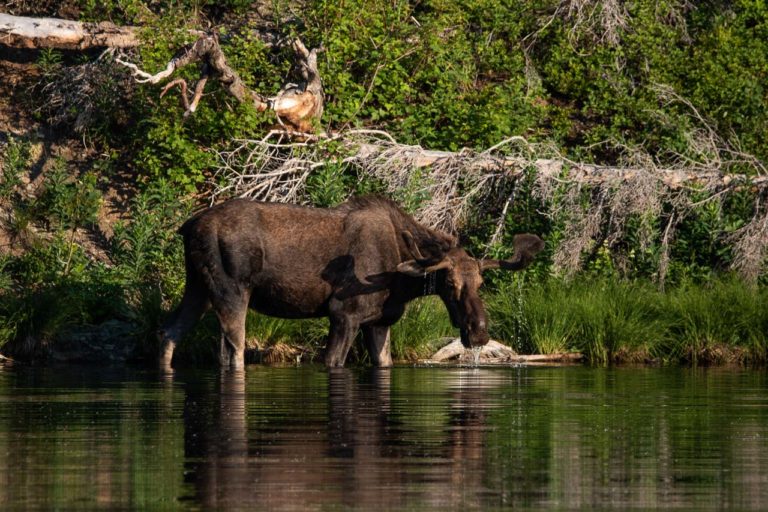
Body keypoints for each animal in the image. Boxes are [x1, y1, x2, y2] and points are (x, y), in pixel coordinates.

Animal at [159, 196, 544, 368]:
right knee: (232, 350)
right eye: (448, 284)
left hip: (198, 288)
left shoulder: (379, 321)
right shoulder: (343, 314)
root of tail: (187, 227)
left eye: (481, 283)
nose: (479, 332)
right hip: (231, 291)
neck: (401, 283)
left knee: (168, 333)